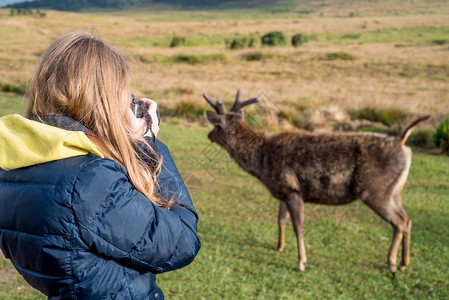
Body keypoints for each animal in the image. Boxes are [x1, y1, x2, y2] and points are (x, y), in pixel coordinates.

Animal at [204, 88, 430, 276]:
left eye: (216, 124)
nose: (208, 134)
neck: (261, 159)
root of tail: (401, 142)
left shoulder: (293, 190)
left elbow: (298, 226)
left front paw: (301, 263)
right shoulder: (284, 191)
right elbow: (281, 220)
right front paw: (280, 246)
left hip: (375, 190)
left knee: (399, 222)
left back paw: (392, 265)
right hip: (394, 191)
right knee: (407, 219)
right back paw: (405, 263)